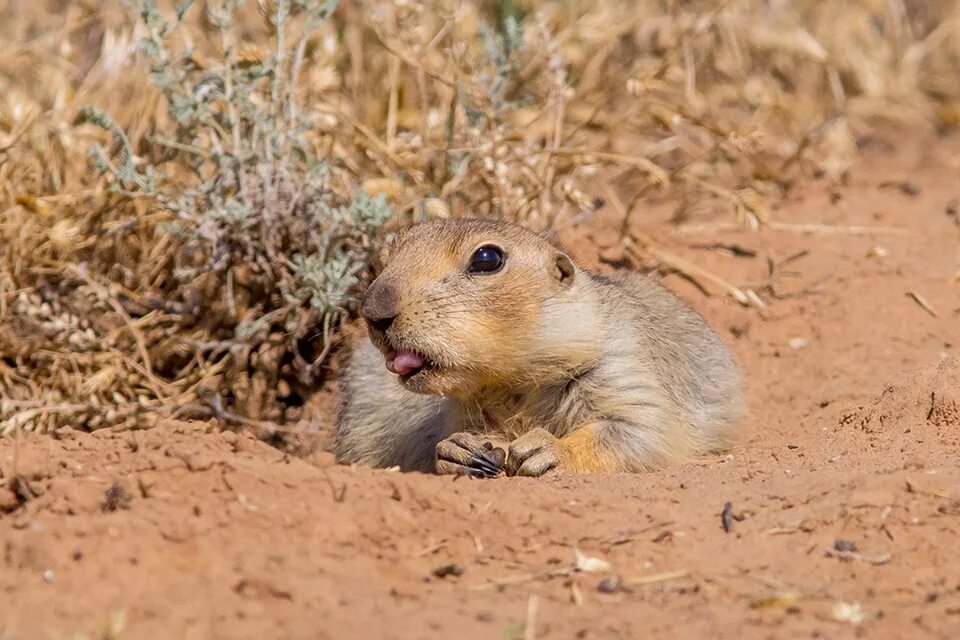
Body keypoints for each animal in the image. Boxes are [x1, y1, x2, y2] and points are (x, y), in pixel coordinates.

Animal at [334, 219, 748, 476]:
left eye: (487, 258)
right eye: (387, 257)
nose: (373, 311)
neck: (510, 381)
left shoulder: (621, 364)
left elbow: (639, 427)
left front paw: (546, 451)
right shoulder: (460, 409)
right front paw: (458, 450)